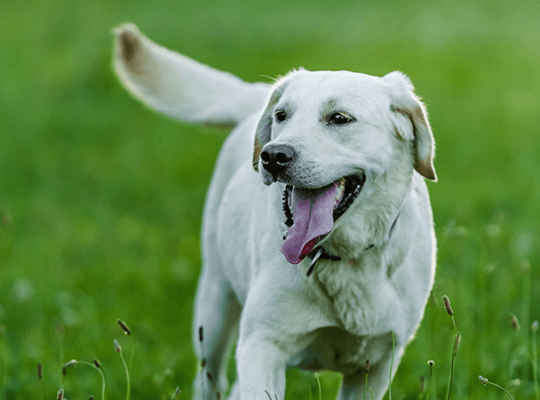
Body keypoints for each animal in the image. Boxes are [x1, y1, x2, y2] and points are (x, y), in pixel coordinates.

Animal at [114, 24, 438, 400]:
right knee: (212, 378)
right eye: (282, 116)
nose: (273, 155)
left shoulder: (378, 363)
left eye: (339, 118)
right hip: (214, 305)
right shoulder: (262, 343)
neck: (339, 258)